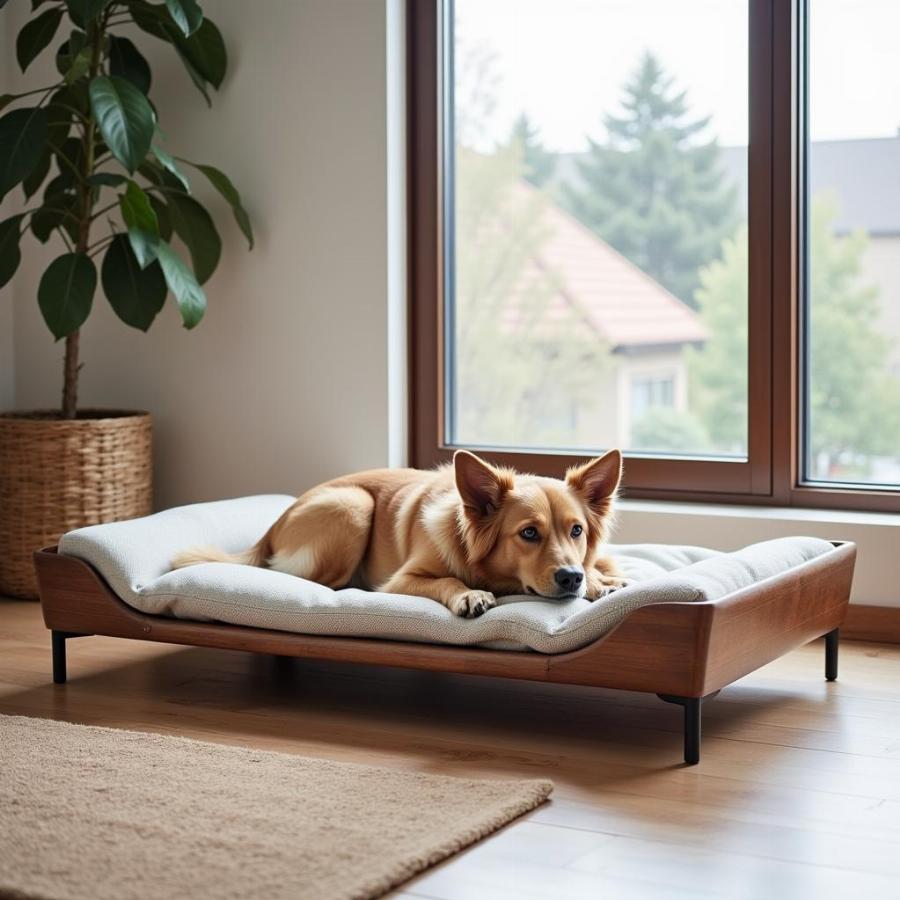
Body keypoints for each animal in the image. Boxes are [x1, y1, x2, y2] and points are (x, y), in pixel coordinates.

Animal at [172, 450, 628, 620]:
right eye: (529, 533)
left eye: (576, 530)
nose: (570, 578)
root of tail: (275, 522)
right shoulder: (401, 581)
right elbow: (447, 580)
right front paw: (469, 595)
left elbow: (602, 567)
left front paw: (599, 582)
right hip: (353, 506)